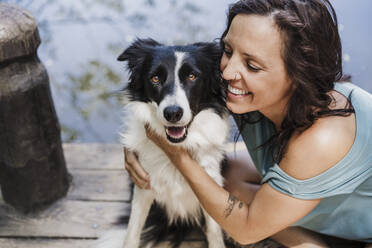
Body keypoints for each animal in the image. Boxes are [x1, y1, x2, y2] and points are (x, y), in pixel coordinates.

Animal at [94, 38, 230, 248]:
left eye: (192, 76)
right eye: (155, 78)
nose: (173, 113)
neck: (177, 146)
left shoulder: (212, 183)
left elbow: (214, 232)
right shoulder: (143, 185)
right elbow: (132, 232)